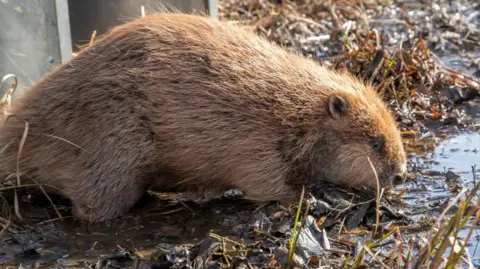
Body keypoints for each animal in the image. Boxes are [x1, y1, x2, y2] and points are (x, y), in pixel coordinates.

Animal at [0, 11, 406, 221]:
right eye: (375, 142)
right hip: (113, 145)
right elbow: (266, 185)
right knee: (90, 207)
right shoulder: (256, 143)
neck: (297, 110)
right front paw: (313, 198)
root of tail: (15, 129)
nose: (401, 173)